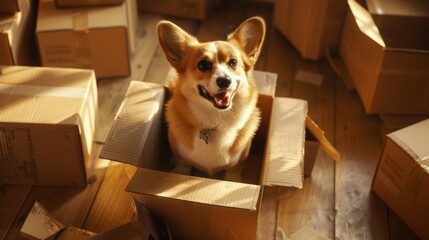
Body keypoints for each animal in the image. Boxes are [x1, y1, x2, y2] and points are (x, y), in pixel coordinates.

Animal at [157, 15, 264, 175]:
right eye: (203, 65)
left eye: (233, 62)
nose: (225, 81)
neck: (216, 120)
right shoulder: (182, 163)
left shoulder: (235, 169)